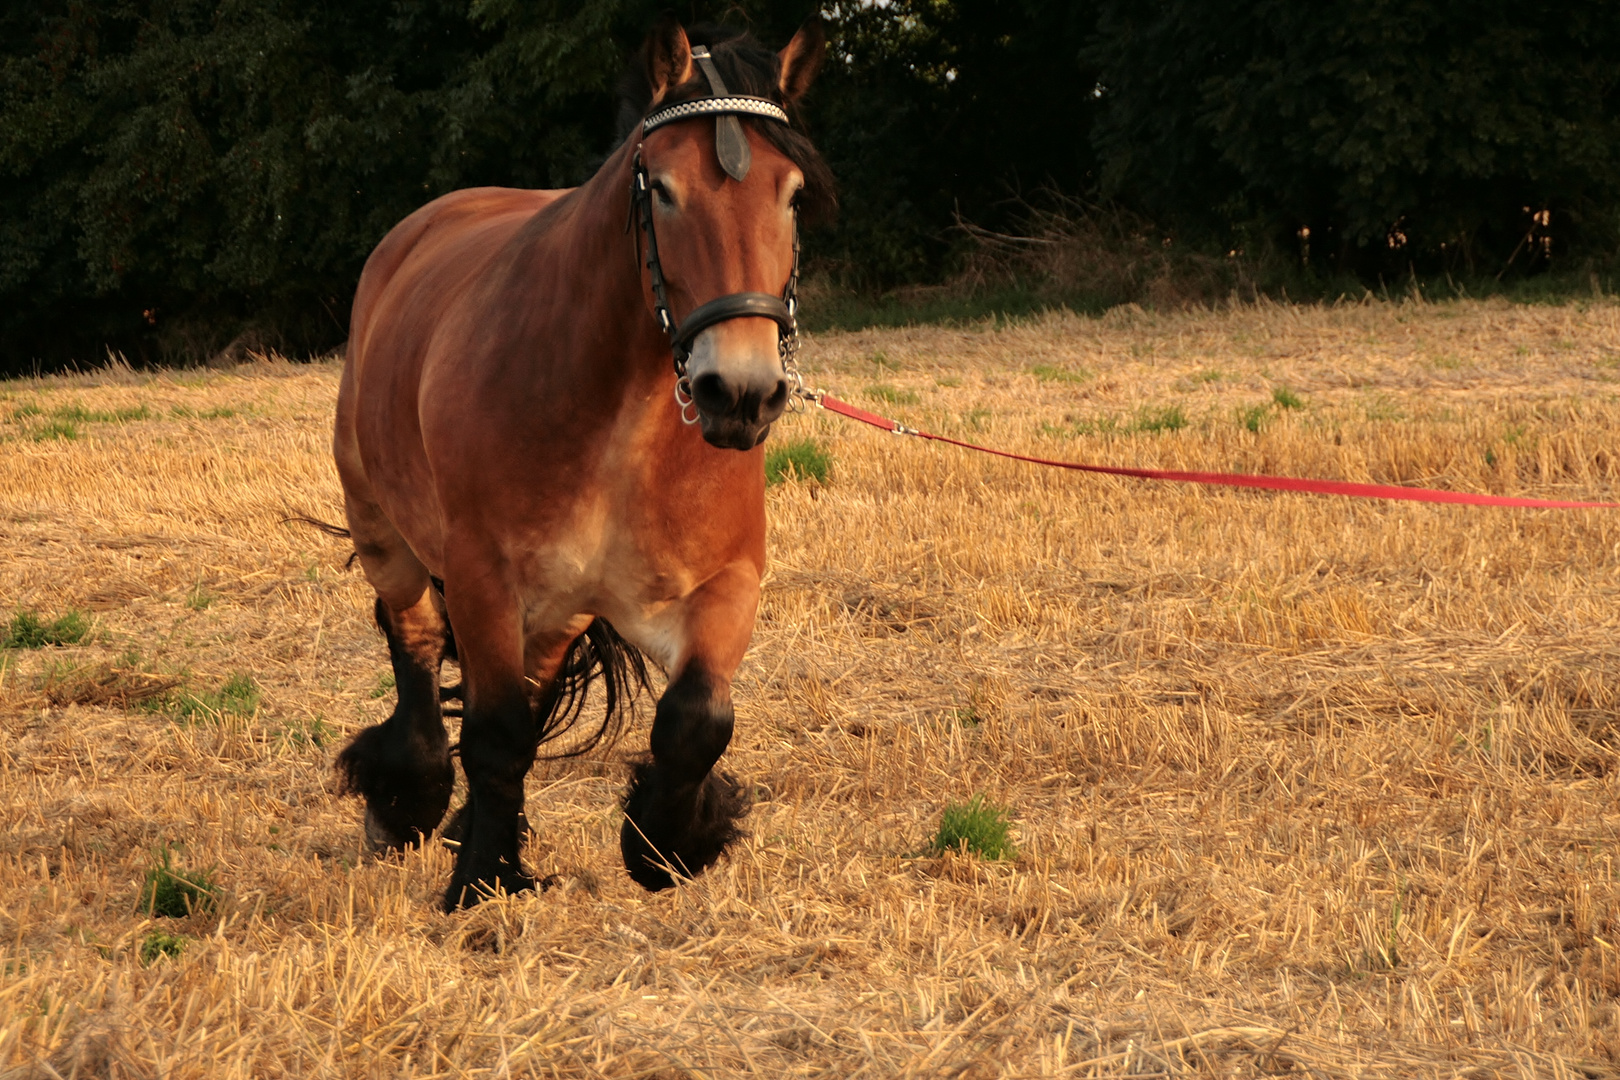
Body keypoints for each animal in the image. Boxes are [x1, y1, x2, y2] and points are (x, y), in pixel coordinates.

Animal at [330, 21, 835, 906]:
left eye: (793, 194)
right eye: (662, 190)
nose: (740, 392)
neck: (625, 436)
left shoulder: (726, 583)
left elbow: (697, 719)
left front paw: (668, 840)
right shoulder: (482, 574)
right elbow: (494, 732)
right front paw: (480, 880)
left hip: (555, 611)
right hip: (383, 527)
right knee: (416, 641)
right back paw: (413, 796)